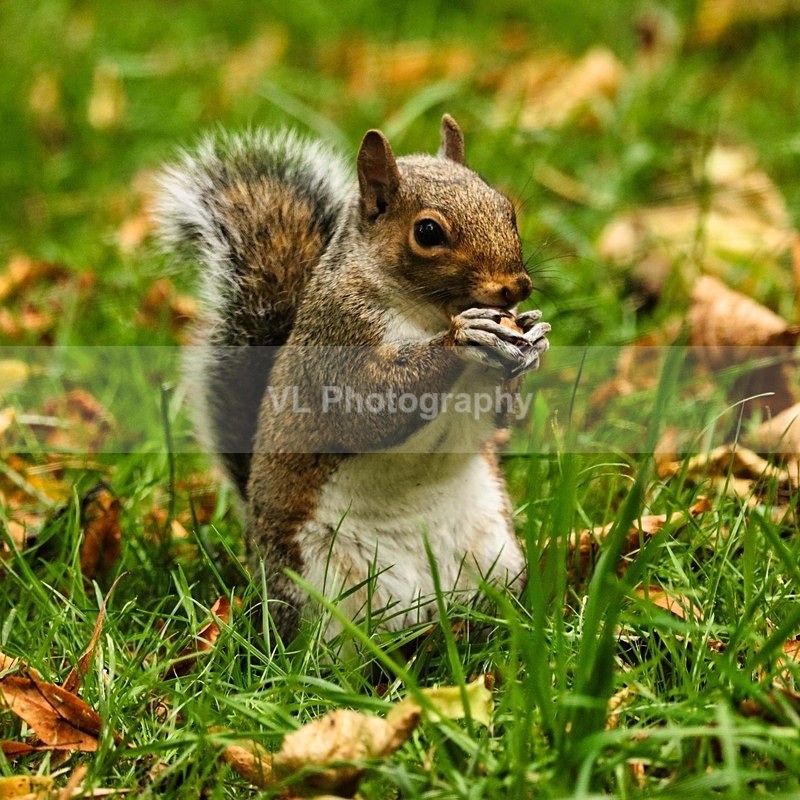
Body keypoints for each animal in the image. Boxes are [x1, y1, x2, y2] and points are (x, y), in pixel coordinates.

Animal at [155, 115, 550, 641]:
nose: (516, 287)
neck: (427, 314)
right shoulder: (337, 347)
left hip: (495, 557)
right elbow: (371, 404)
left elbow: (496, 412)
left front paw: (533, 336)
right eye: (428, 231)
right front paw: (464, 336)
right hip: (316, 589)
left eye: (506, 208)